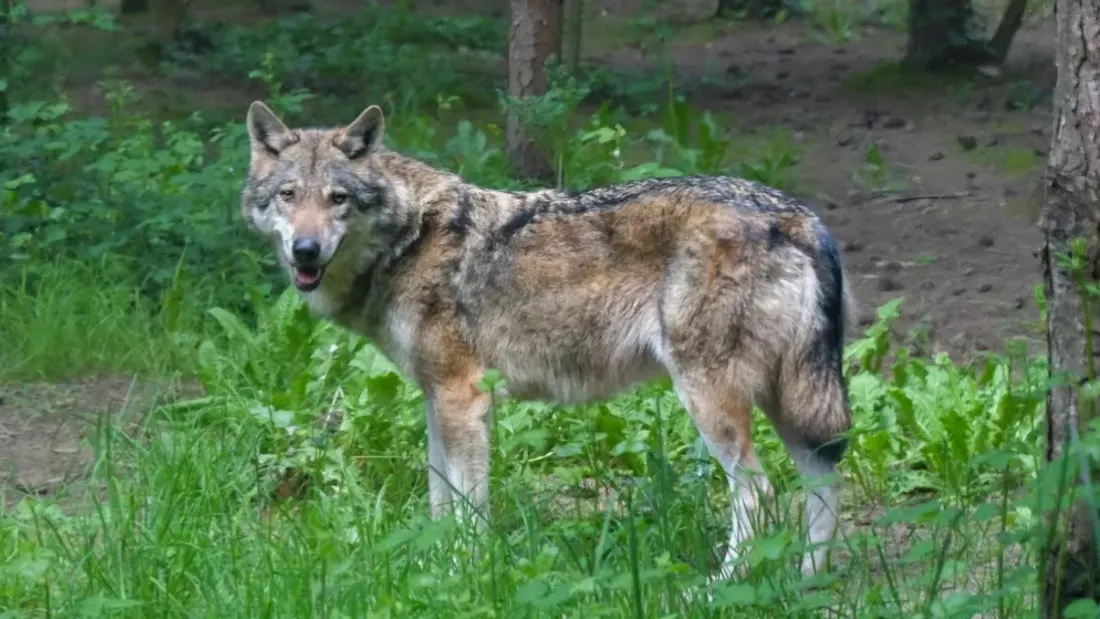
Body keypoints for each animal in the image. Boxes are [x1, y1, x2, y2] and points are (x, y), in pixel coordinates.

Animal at [240, 101, 855, 579]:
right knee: (824, 481)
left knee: (759, 493)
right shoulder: (437, 401)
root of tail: (797, 216)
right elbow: (440, 505)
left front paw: (466, 575)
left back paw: (716, 589)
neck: (410, 239)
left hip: (712, 401)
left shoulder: (464, 400)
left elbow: (469, 510)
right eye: (288, 195)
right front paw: (433, 572)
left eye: (337, 199)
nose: (305, 250)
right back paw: (807, 581)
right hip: (788, 401)